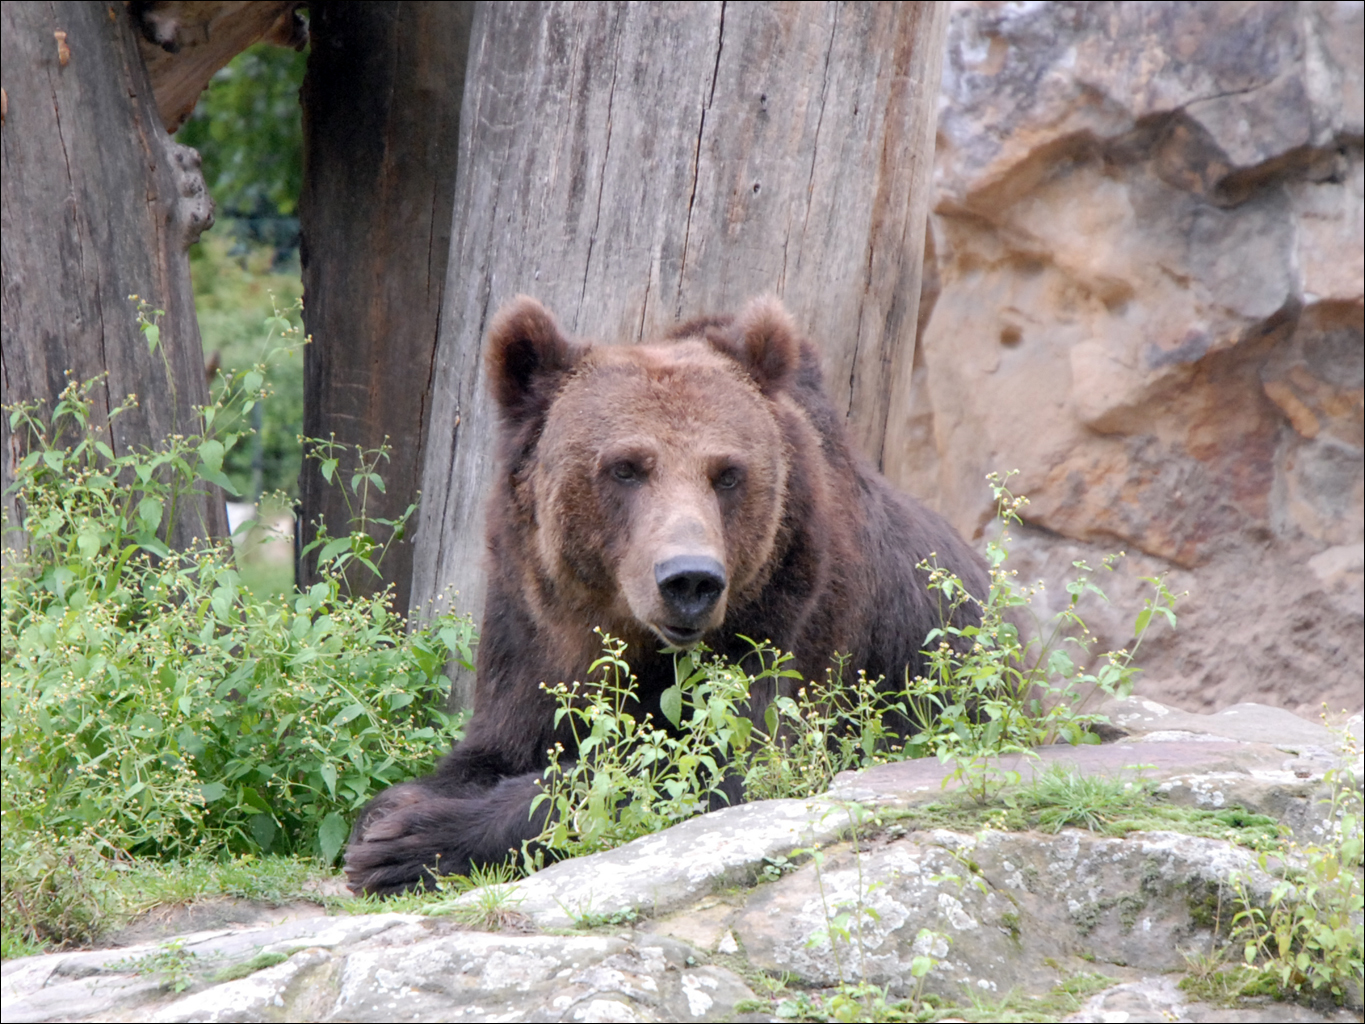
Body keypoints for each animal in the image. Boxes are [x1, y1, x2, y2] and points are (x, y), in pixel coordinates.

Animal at [338, 296, 982, 895]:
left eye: (728, 473)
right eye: (626, 467)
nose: (690, 580)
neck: (629, 634)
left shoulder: (786, 626)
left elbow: (709, 765)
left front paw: (410, 841)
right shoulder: (529, 633)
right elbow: (496, 745)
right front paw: (388, 810)